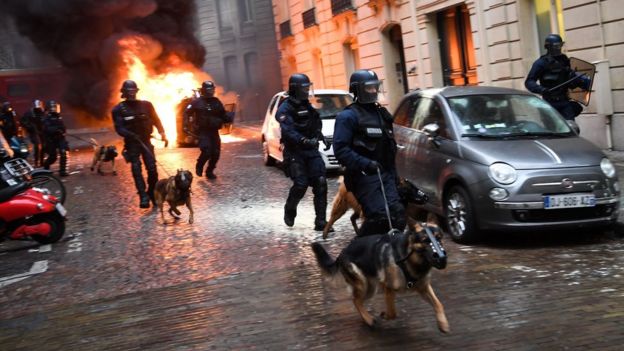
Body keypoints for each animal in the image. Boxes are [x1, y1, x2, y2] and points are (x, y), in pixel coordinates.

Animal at [310, 220, 448, 332]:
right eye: (426, 241)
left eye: (439, 238)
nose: (442, 258)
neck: (407, 258)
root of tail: (341, 253)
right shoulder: (388, 288)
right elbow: (392, 312)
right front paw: (385, 315)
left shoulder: (424, 288)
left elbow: (439, 303)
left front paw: (443, 324)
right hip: (363, 284)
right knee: (355, 300)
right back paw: (369, 320)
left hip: (370, 289)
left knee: (357, 300)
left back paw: (366, 317)